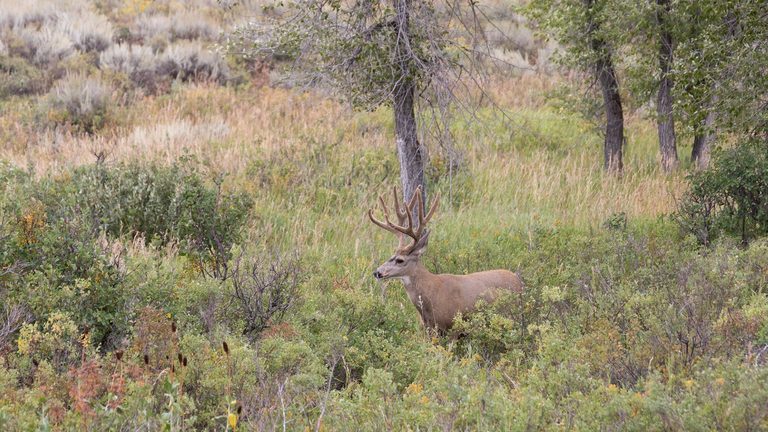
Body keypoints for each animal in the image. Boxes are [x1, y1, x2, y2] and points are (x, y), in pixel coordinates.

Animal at [368, 186, 524, 334]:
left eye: (400, 260)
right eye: (390, 256)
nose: (377, 272)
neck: (433, 295)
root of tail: (517, 279)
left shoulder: (454, 326)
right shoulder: (429, 329)